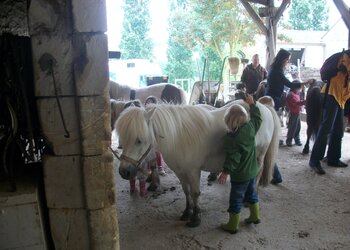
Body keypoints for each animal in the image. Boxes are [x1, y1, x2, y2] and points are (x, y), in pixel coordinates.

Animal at [116, 99, 280, 227]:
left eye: (139, 140)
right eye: (122, 138)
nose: (124, 172)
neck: (178, 137)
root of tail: (264, 108)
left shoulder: (193, 171)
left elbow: (195, 193)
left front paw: (195, 218)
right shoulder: (180, 172)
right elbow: (186, 191)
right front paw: (186, 212)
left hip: (259, 156)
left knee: (257, 174)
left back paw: (249, 198)